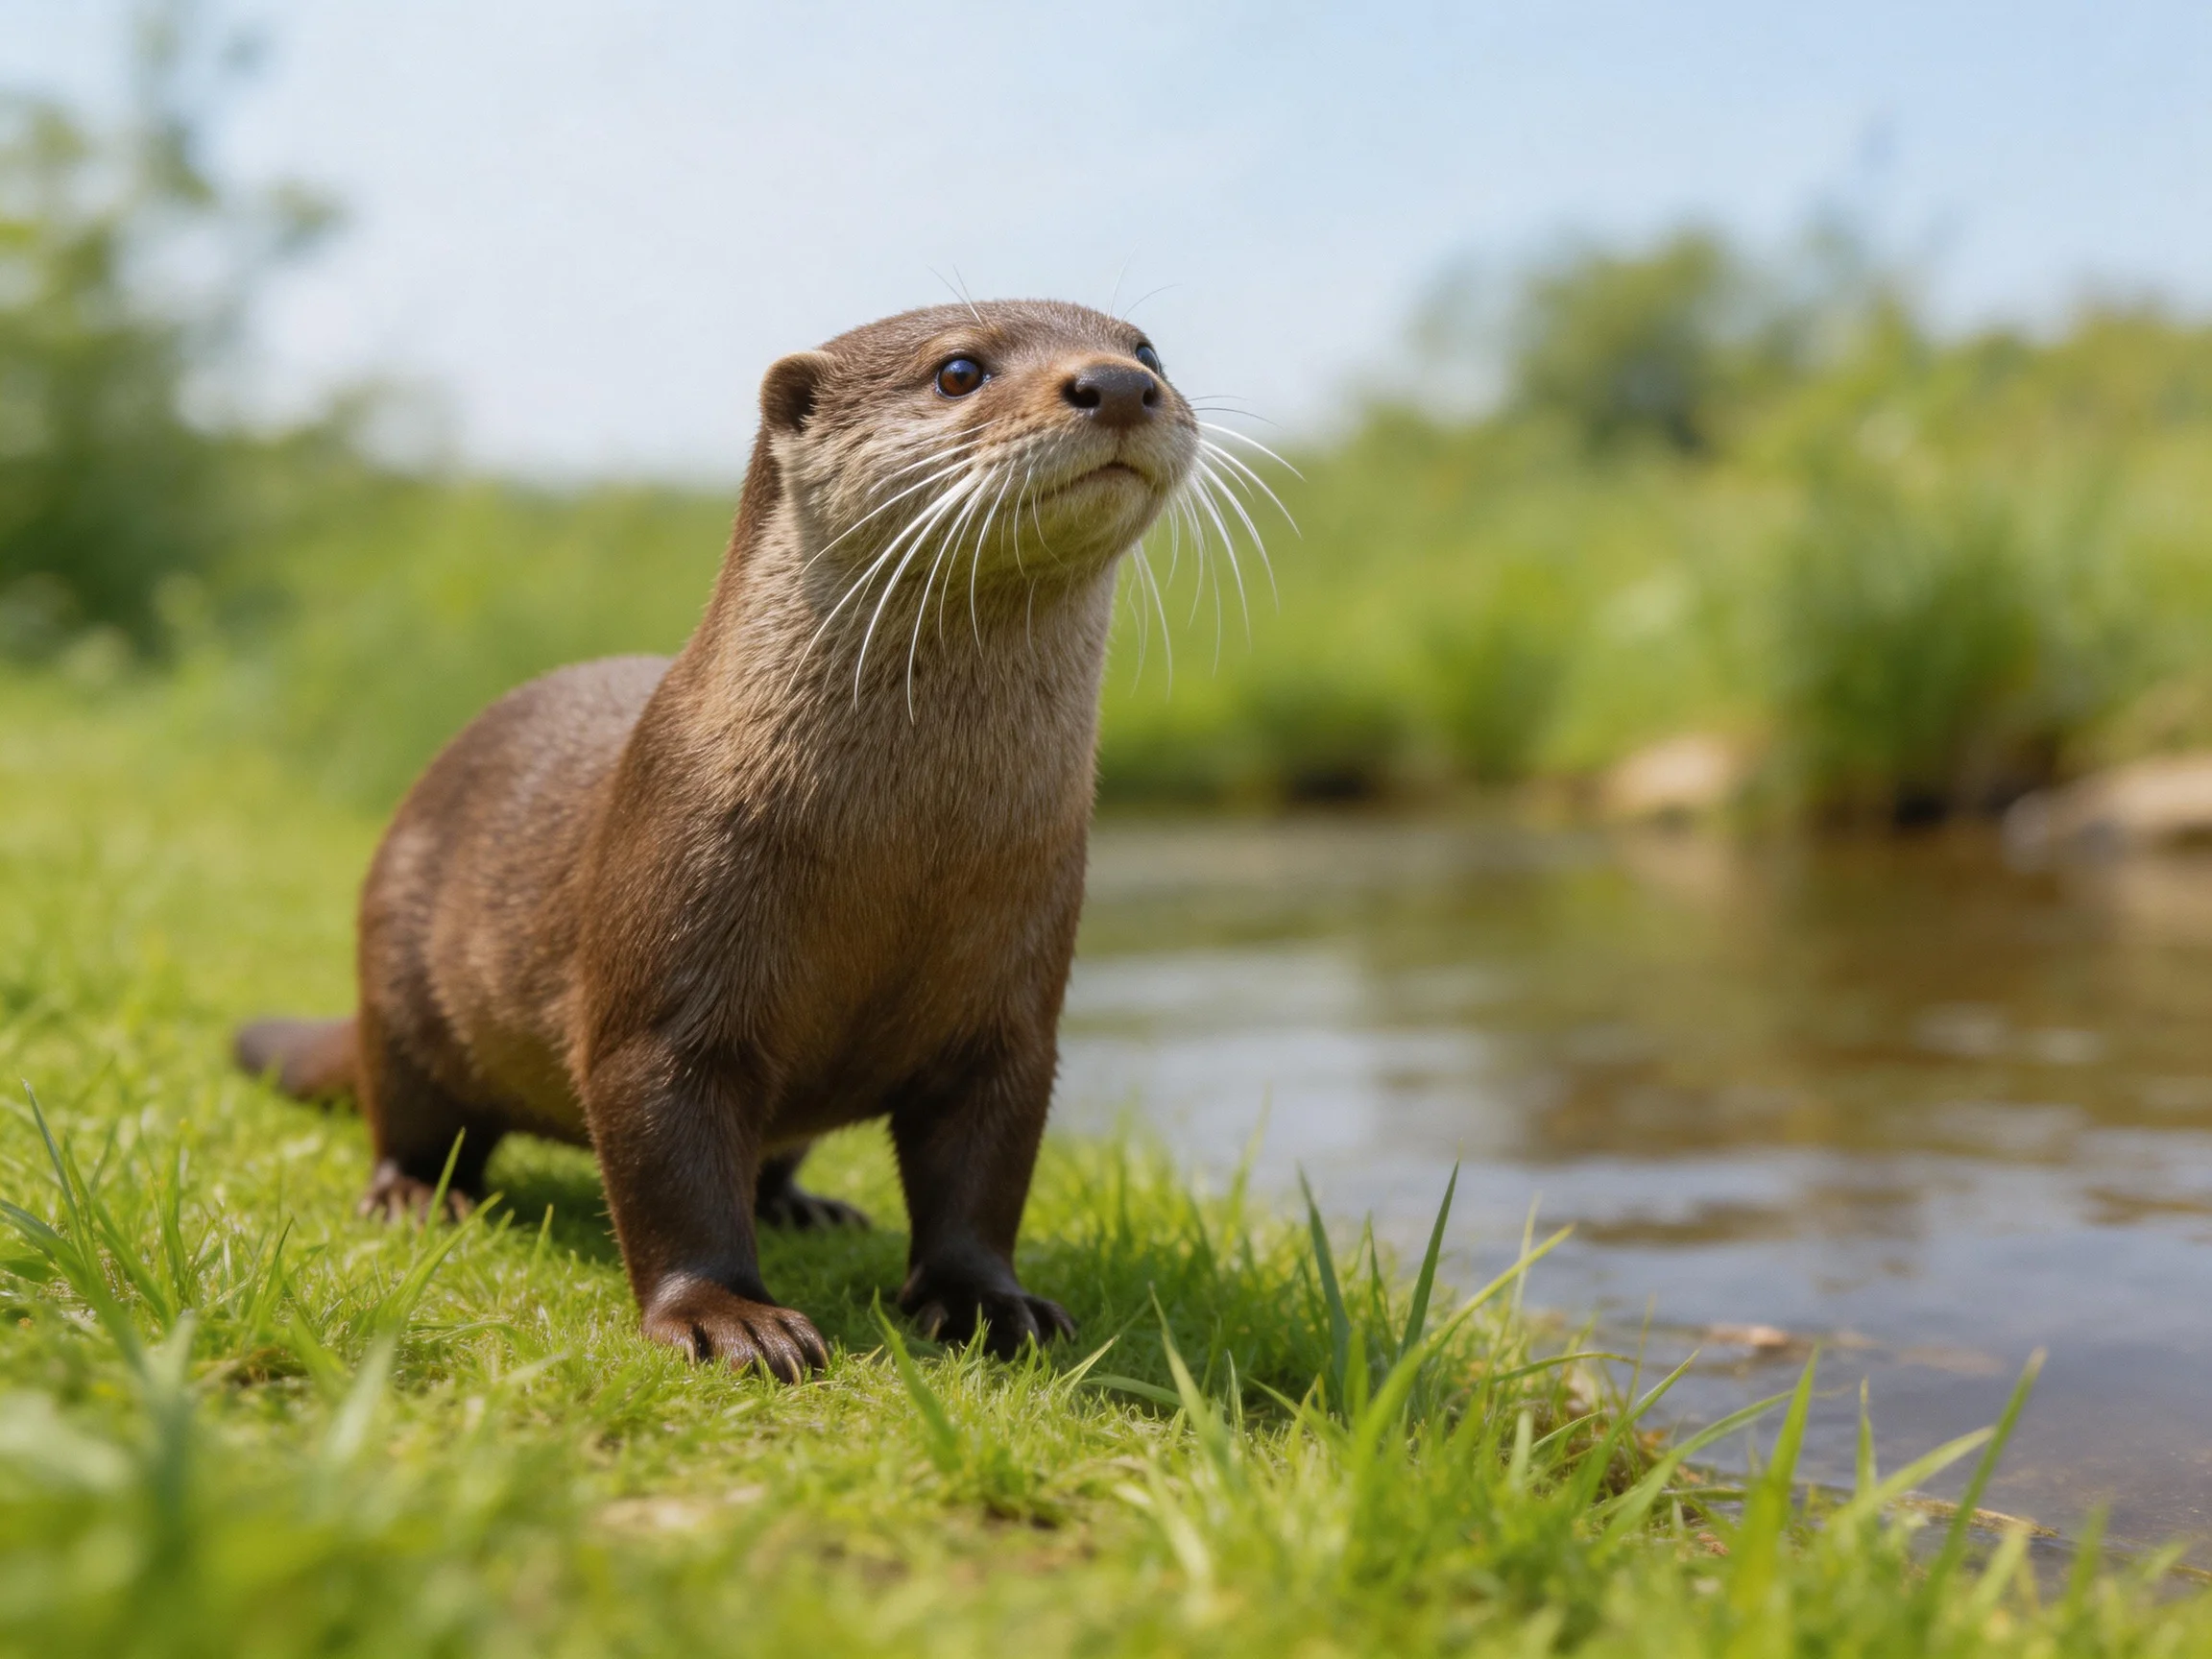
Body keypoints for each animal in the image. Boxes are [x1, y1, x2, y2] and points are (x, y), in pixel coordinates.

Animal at [235, 300, 1212, 1380]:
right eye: (959, 370)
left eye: (1147, 349)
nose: (1117, 386)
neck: (907, 852)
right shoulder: (668, 963)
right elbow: (668, 1154)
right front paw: (726, 1317)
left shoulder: (1015, 998)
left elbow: (985, 1174)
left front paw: (989, 1303)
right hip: (399, 978)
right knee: (411, 1113)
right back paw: (414, 1196)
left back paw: (804, 1206)